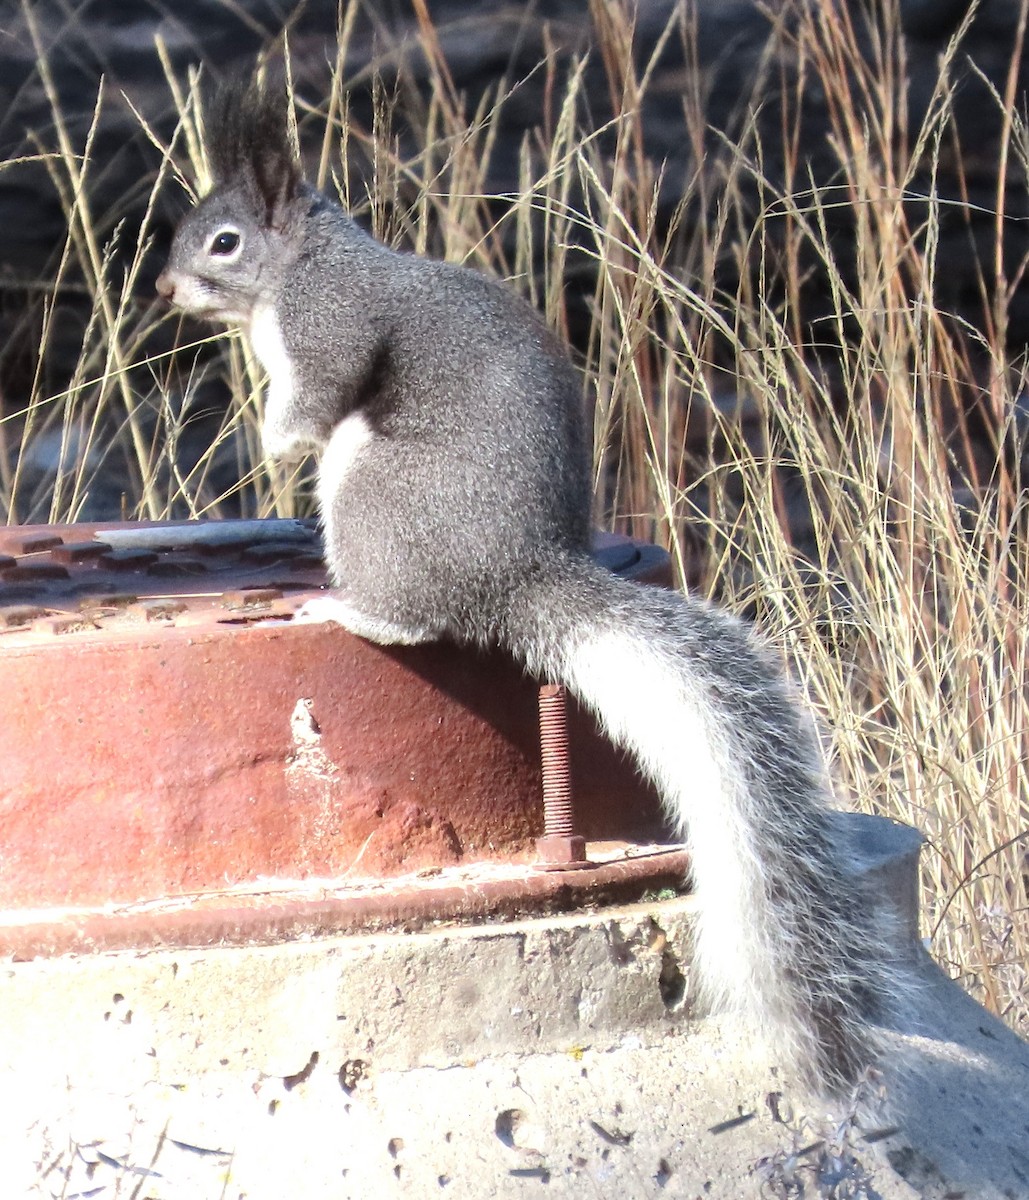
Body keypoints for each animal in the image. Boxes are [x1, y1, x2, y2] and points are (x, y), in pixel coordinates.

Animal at [156, 75, 904, 1094]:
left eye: (223, 241)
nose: (164, 287)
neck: (302, 261)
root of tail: (517, 576)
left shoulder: (328, 327)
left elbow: (307, 408)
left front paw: (267, 444)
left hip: (377, 497)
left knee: (415, 618)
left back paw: (349, 606)